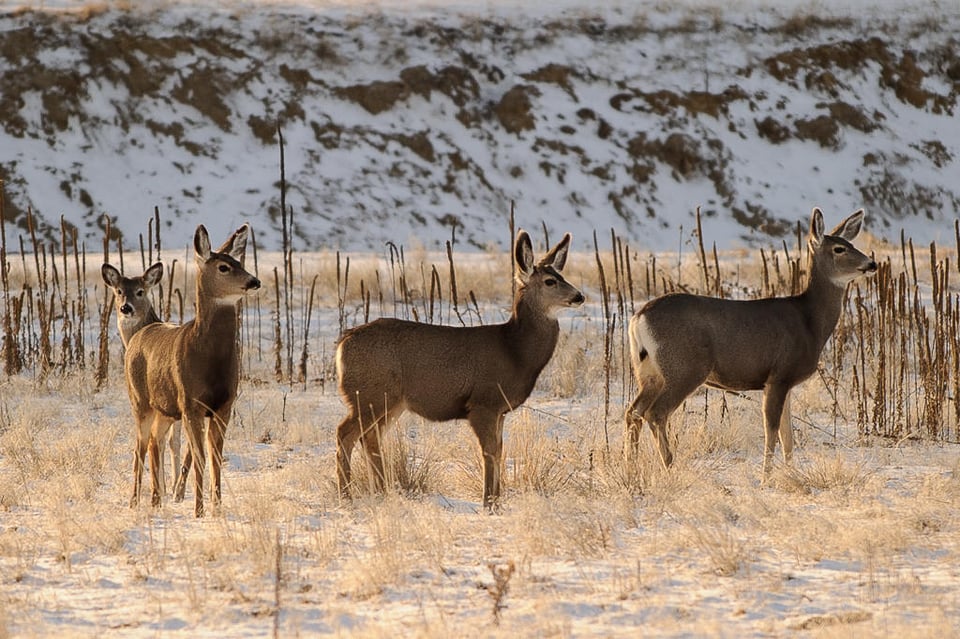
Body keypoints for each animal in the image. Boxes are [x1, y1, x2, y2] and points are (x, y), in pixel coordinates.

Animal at [102, 262, 185, 498]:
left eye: (140, 291)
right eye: (119, 291)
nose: (126, 308)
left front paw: (164, 488)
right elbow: (171, 441)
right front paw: (169, 487)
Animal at [123, 224, 258, 516]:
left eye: (239, 263)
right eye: (223, 267)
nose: (254, 281)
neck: (209, 360)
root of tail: (138, 335)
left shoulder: (224, 404)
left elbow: (216, 456)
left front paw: (217, 508)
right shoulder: (191, 403)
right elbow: (199, 456)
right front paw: (199, 510)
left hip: (165, 408)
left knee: (155, 441)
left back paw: (156, 500)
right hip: (139, 400)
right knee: (139, 445)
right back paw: (134, 501)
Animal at [336, 230, 584, 510]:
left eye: (562, 276)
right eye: (550, 281)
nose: (579, 296)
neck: (515, 351)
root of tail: (342, 343)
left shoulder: (500, 410)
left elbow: (500, 451)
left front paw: (497, 502)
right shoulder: (482, 403)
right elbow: (489, 452)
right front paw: (488, 504)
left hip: (389, 402)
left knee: (370, 438)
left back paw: (383, 491)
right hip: (370, 394)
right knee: (345, 433)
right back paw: (346, 496)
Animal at [624, 208, 876, 478]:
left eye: (851, 243)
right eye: (839, 249)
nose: (871, 263)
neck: (809, 322)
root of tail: (638, 318)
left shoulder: (785, 382)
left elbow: (787, 434)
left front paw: (790, 473)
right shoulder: (779, 374)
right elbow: (772, 430)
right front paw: (766, 477)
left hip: (649, 372)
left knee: (633, 412)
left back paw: (631, 467)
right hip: (684, 367)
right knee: (655, 412)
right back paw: (670, 466)